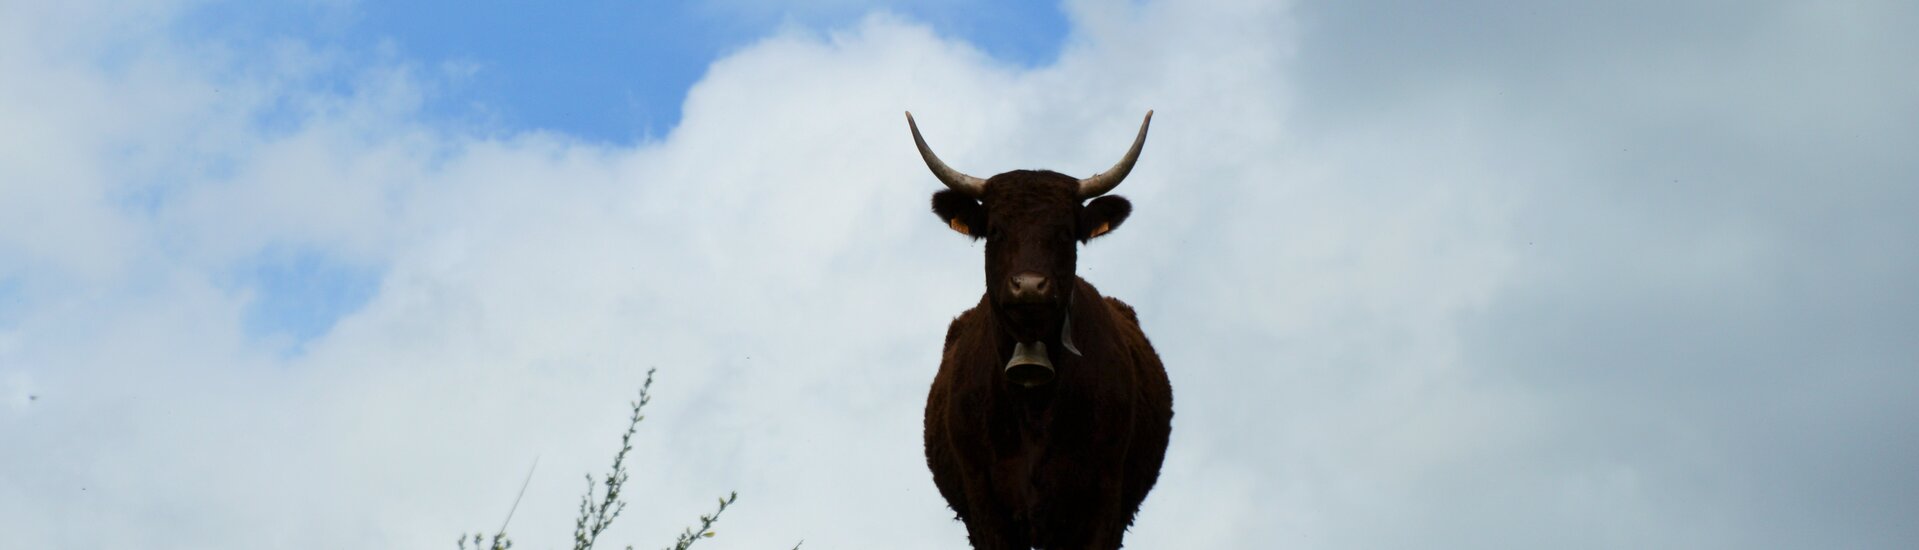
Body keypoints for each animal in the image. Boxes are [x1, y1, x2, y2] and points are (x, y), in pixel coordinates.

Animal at [909, 113, 1166, 550]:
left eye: (1065, 231)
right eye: (996, 230)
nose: (1029, 286)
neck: (1033, 406)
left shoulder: (1102, 501)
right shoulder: (984, 505)